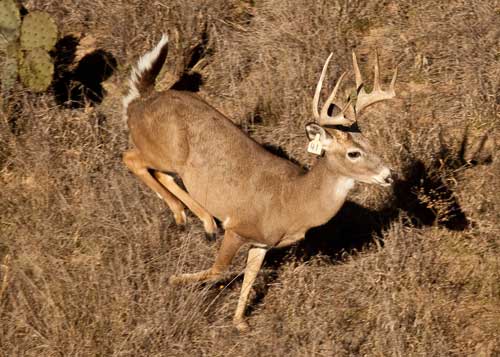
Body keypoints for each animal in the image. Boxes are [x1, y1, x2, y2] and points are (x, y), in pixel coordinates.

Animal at [122, 34, 398, 330]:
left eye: (370, 143)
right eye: (353, 153)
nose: (388, 175)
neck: (292, 200)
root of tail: (141, 101)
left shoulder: (261, 243)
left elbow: (249, 277)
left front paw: (240, 322)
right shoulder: (238, 227)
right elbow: (218, 270)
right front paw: (175, 279)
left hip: (169, 159)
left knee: (158, 172)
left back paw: (199, 221)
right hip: (162, 151)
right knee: (131, 159)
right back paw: (189, 219)